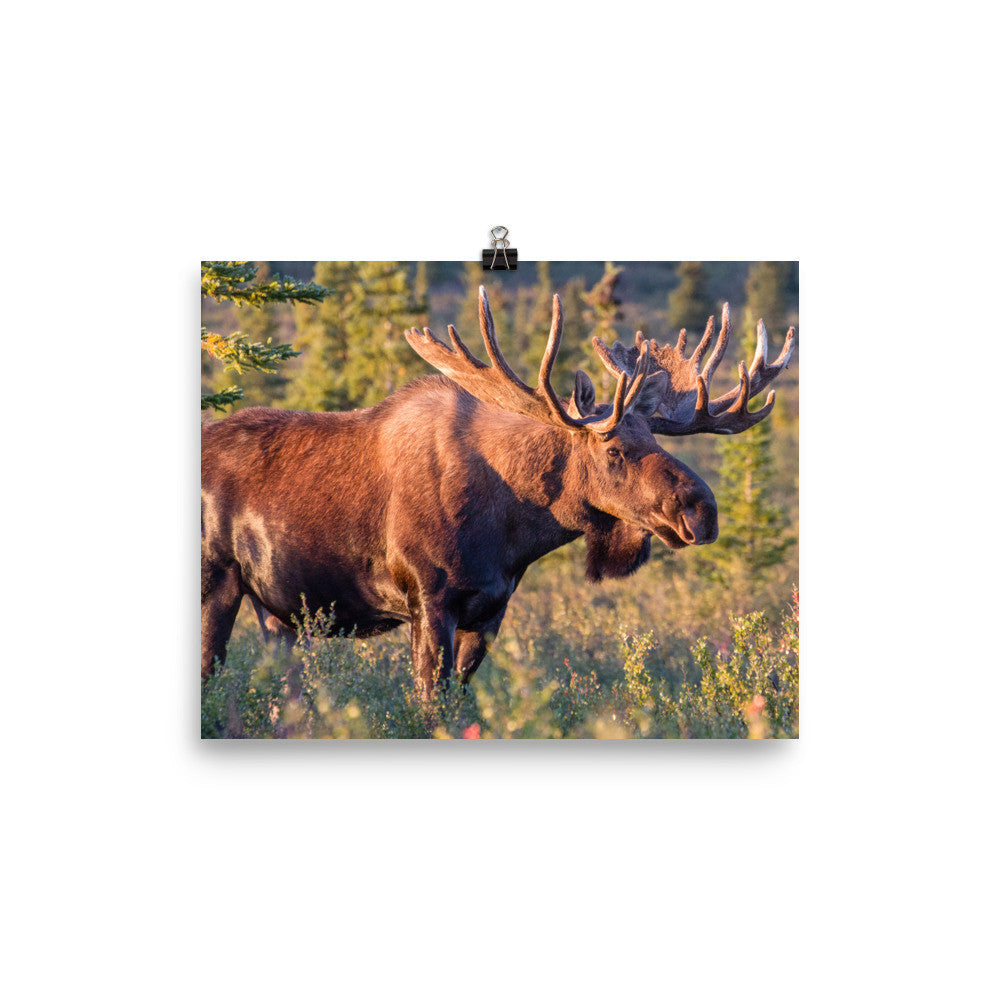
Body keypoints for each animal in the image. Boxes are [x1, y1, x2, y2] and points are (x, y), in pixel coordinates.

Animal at [201, 287, 795, 699]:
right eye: (613, 449)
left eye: (654, 437)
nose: (704, 510)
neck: (511, 529)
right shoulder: (428, 600)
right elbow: (428, 705)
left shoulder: (489, 612)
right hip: (218, 580)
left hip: (277, 612)